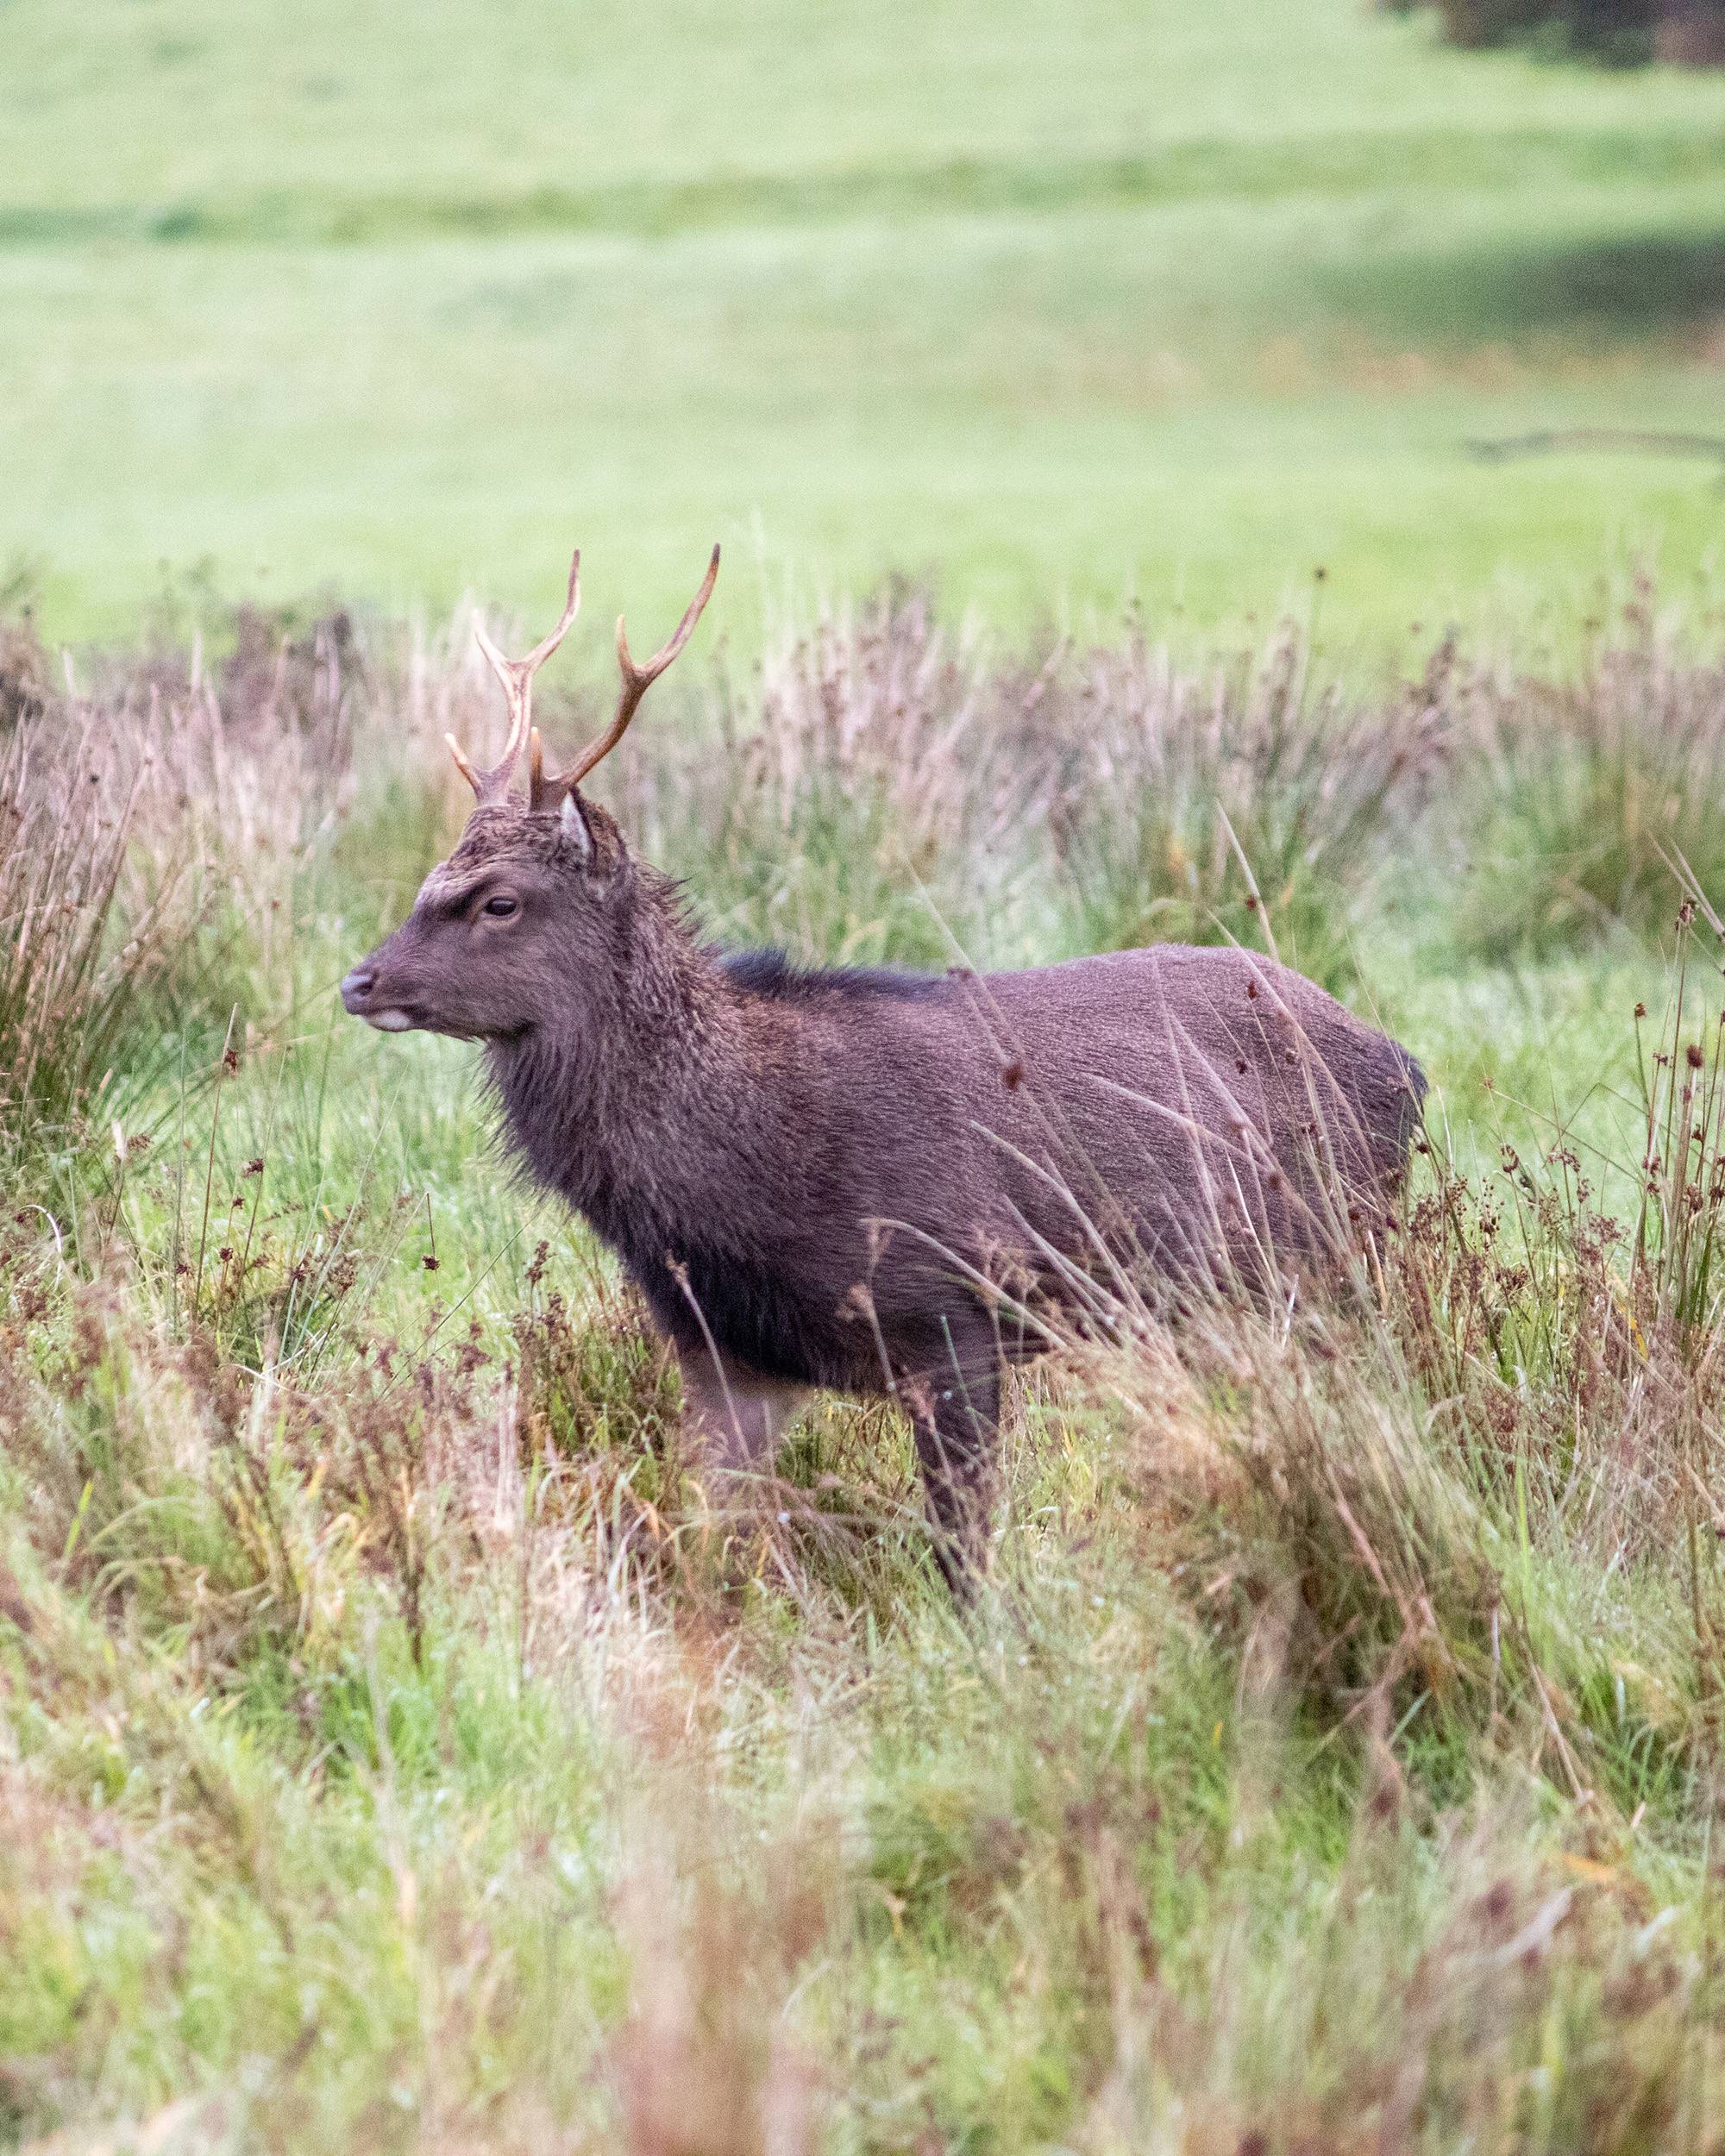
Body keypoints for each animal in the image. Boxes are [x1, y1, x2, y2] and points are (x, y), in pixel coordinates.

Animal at [341, 548, 1432, 1595]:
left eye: (497, 900)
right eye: (433, 876)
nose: (359, 980)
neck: (744, 1179)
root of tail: (1406, 1064)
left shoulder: (956, 1306)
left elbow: (960, 1548)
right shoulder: (723, 1349)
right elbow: (708, 1537)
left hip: (1333, 1255)